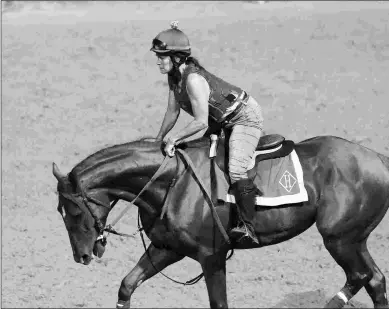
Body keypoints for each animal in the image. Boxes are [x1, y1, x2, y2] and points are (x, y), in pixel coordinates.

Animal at [52, 133, 388, 308]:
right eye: (60, 211)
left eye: (74, 212)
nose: (81, 256)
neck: (171, 182)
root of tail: (378, 158)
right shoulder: (167, 249)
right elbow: (127, 284)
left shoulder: (211, 257)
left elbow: (219, 303)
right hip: (354, 239)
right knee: (375, 280)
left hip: (339, 238)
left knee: (360, 276)